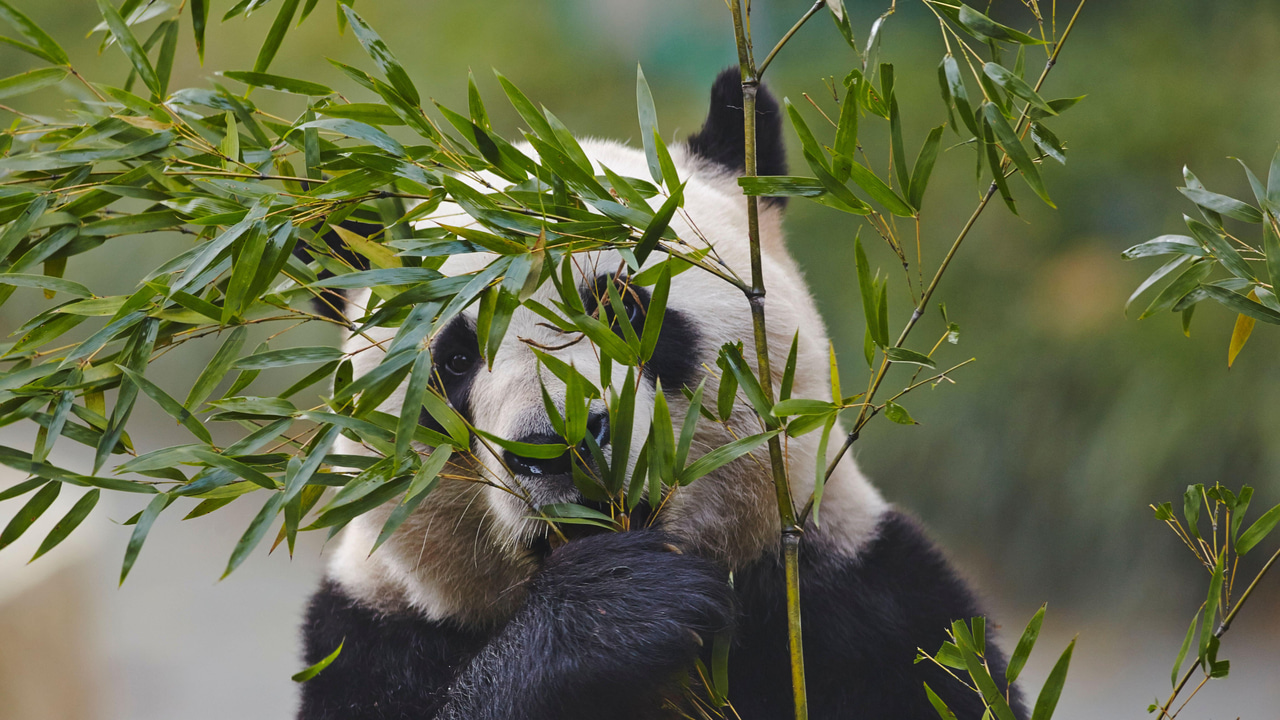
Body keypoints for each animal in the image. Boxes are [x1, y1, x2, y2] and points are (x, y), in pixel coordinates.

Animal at [297, 69, 1024, 720]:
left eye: (622, 310)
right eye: (453, 360)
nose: (556, 445)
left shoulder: (858, 599)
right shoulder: (375, 635)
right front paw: (613, 615)